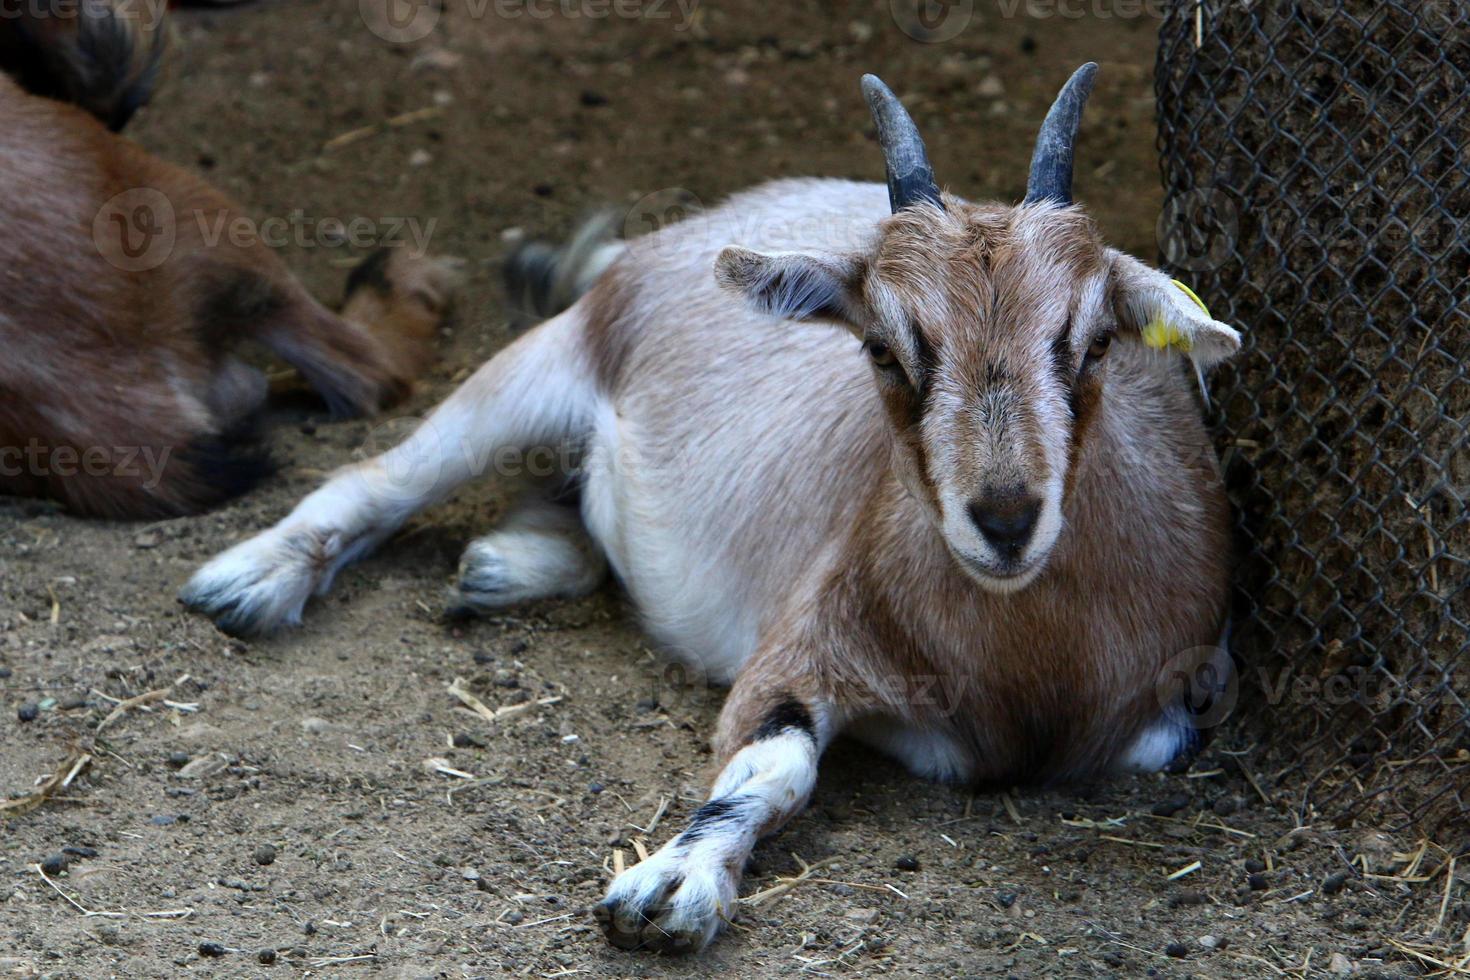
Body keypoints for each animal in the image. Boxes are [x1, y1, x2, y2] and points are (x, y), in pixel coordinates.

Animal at [180, 65, 1240, 952]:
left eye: (1094, 342)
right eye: (884, 348)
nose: (1006, 520)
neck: (1029, 668)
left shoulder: (1176, 701)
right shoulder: (806, 640)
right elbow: (771, 765)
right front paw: (666, 889)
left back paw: (505, 562)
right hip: (533, 371)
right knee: (382, 475)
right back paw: (247, 584)